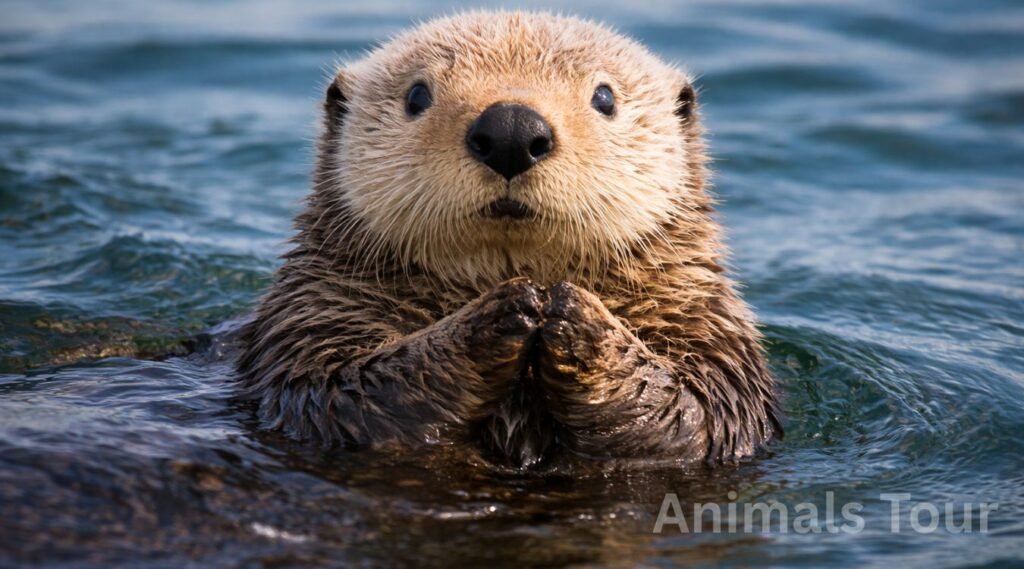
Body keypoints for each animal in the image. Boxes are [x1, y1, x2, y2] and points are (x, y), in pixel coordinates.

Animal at [237, 12, 780, 468]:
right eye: (417, 96)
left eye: (605, 98)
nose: (511, 129)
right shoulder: (313, 318)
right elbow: (338, 392)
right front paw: (506, 310)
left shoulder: (707, 329)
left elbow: (696, 412)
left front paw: (574, 316)